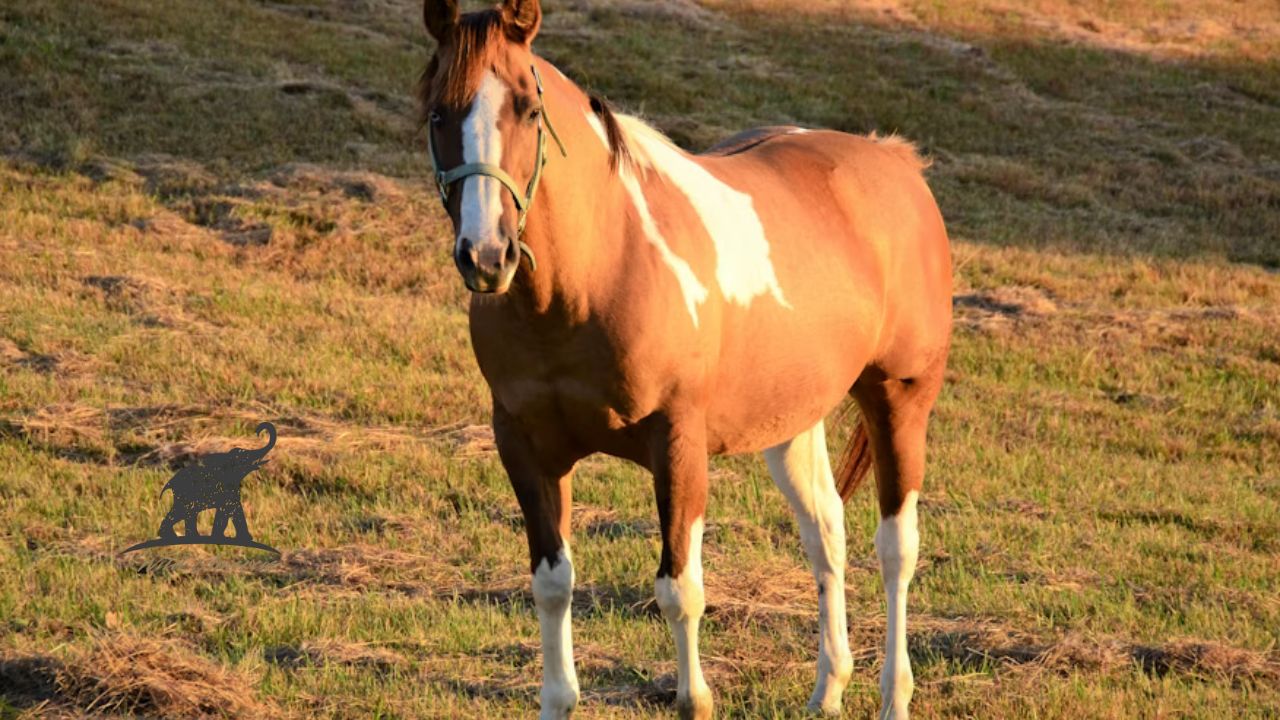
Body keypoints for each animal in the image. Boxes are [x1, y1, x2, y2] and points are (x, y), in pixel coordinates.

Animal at [416, 1, 952, 718]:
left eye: (529, 109)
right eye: (438, 114)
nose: (486, 254)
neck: (599, 270)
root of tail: (895, 161)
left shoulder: (677, 446)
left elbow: (679, 589)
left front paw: (694, 696)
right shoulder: (527, 449)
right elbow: (551, 584)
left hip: (899, 400)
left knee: (895, 550)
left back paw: (894, 693)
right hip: (790, 421)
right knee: (825, 532)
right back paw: (828, 687)